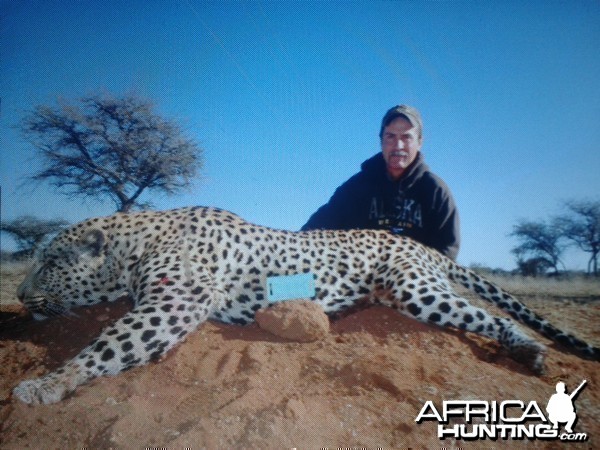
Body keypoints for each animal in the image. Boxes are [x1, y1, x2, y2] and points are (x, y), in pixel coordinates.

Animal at [12, 207, 600, 404]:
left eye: (49, 261)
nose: (17, 296)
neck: (137, 241)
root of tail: (420, 245)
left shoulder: (174, 303)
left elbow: (107, 346)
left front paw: (45, 385)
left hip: (413, 289)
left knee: (493, 316)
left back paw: (529, 352)